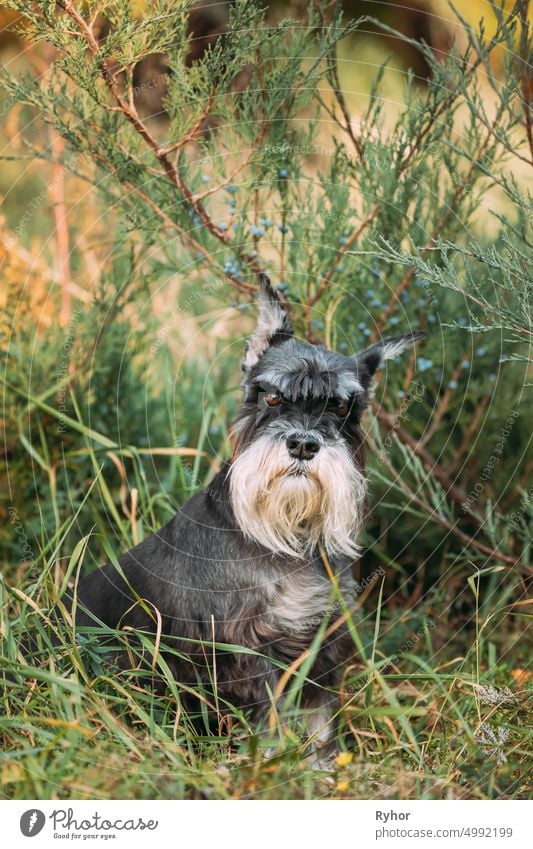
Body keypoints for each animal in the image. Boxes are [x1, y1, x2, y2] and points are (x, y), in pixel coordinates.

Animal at [74, 274, 424, 752]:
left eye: (339, 406)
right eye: (272, 397)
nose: (303, 444)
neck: (288, 535)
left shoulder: (319, 642)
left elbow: (319, 718)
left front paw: (322, 763)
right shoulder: (245, 650)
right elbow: (269, 715)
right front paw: (270, 761)